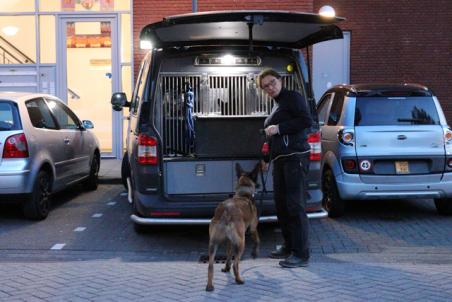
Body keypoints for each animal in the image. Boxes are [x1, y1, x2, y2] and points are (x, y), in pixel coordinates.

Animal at [206, 163, 260, 292]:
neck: (243, 194)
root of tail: (225, 210)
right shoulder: (253, 228)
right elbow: (257, 240)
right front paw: (255, 253)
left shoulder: (229, 241)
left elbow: (228, 255)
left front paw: (226, 268)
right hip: (241, 243)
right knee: (236, 264)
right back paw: (239, 280)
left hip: (213, 244)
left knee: (210, 266)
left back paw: (209, 286)